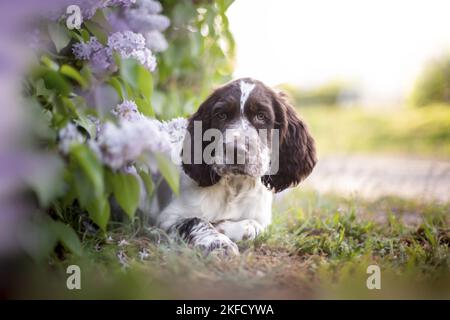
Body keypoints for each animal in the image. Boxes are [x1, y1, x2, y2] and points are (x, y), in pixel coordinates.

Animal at [148, 77, 316, 255]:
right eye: (221, 115)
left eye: (261, 116)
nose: (236, 151)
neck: (235, 187)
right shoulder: (167, 217)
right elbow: (197, 221)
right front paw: (219, 243)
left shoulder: (262, 220)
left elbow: (254, 227)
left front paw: (224, 227)